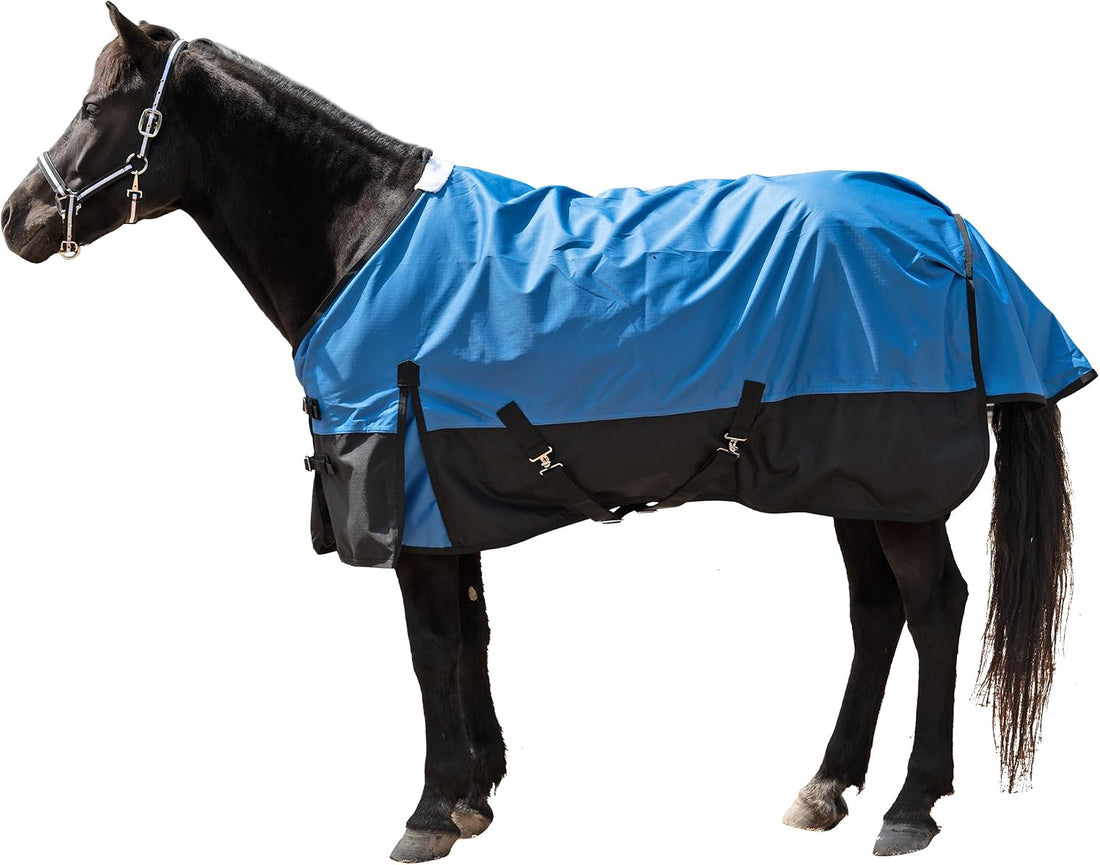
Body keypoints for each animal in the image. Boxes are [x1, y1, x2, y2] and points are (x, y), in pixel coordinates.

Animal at [1, 6, 1092, 861]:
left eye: (96, 108)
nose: (18, 217)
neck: (363, 238)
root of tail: (947, 228)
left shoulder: (409, 500)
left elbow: (431, 644)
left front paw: (428, 810)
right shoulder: (451, 496)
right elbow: (472, 632)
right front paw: (478, 790)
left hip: (898, 485)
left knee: (936, 608)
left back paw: (911, 805)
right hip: (849, 478)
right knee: (876, 613)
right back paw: (825, 787)